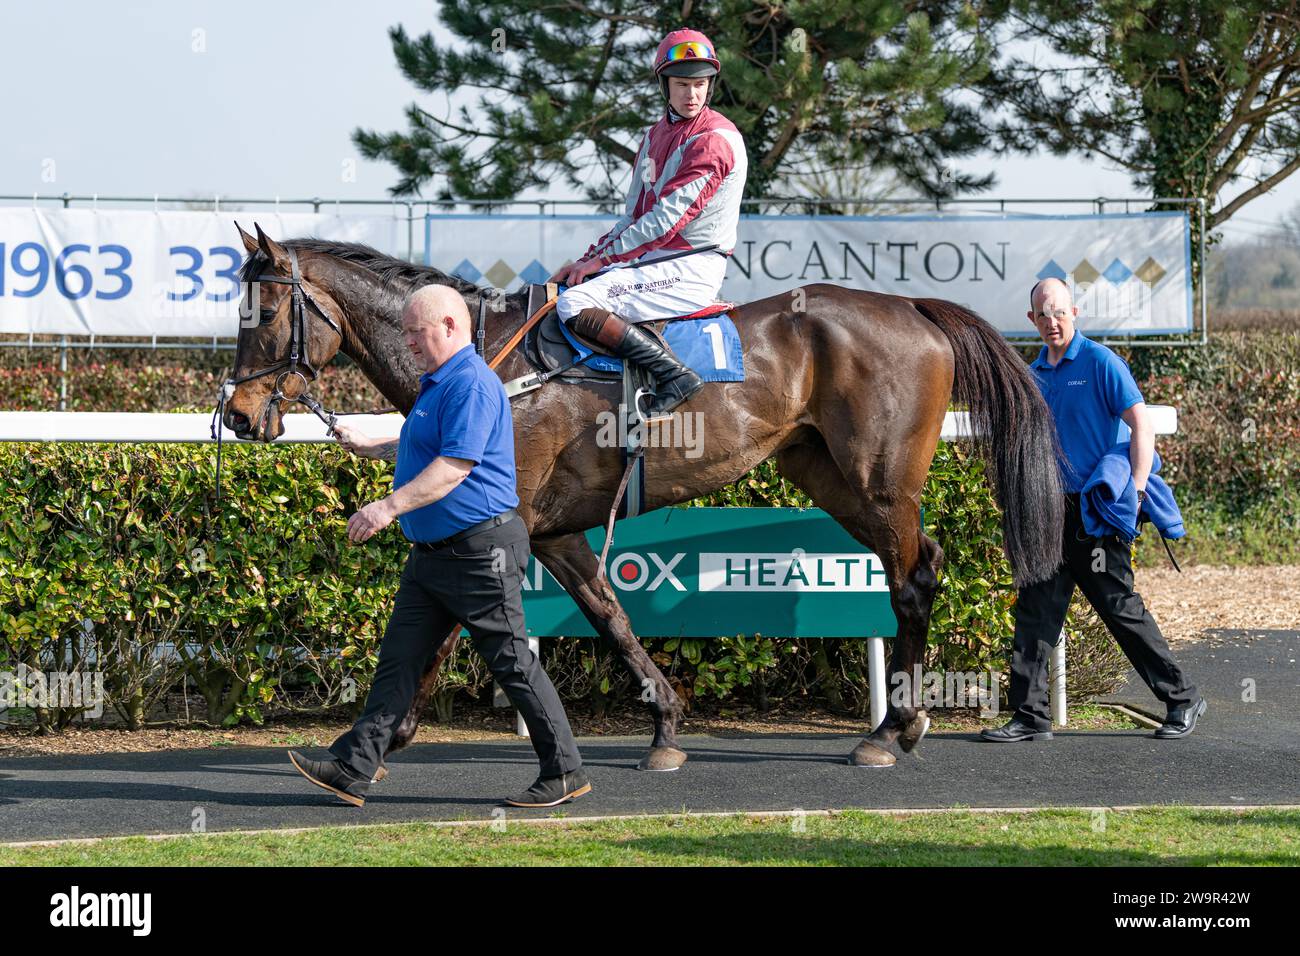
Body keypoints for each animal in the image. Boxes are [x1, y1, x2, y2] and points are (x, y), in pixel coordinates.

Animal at [220, 227, 1055, 775]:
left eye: (265, 313)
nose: (237, 415)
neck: (490, 361)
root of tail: (913, 307)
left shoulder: (500, 519)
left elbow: (449, 628)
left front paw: (386, 736)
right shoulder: (554, 530)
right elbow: (609, 617)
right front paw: (665, 725)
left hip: (879, 480)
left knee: (911, 583)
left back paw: (891, 731)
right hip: (829, 477)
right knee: (922, 564)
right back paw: (899, 724)